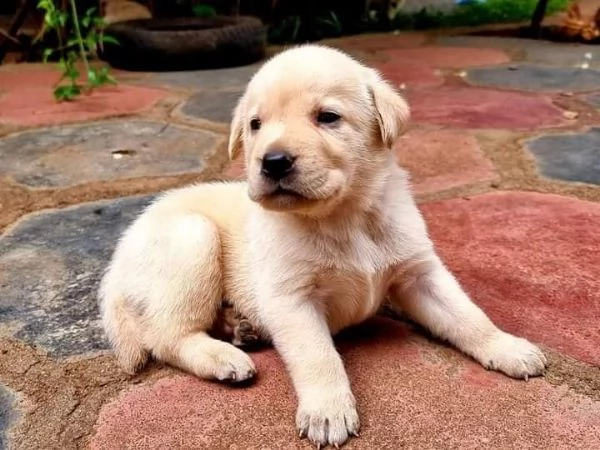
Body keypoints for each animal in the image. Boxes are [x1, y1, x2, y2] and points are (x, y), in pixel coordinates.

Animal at [99, 44, 548, 446]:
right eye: (255, 124)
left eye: (327, 117)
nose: (273, 162)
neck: (344, 218)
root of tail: (113, 268)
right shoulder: (293, 299)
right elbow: (318, 356)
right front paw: (328, 411)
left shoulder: (419, 274)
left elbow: (469, 317)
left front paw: (507, 348)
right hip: (193, 238)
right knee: (166, 336)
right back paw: (223, 357)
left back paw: (241, 327)